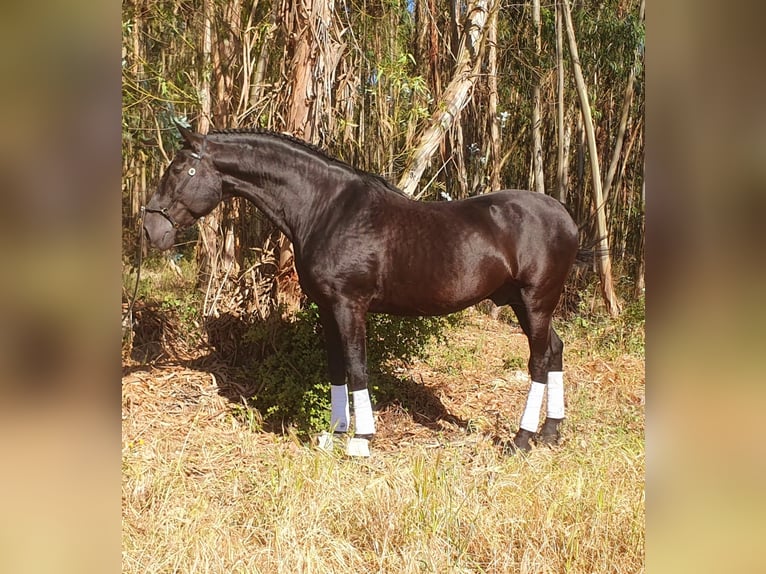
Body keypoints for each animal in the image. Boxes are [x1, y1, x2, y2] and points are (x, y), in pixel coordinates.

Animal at [144, 126, 580, 454]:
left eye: (181, 171)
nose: (151, 228)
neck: (326, 209)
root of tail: (566, 216)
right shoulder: (326, 308)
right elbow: (337, 367)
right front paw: (336, 433)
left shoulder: (349, 305)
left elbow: (357, 367)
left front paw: (361, 439)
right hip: (523, 303)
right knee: (555, 350)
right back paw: (551, 432)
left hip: (535, 300)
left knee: (539, 360)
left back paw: (522, 438)